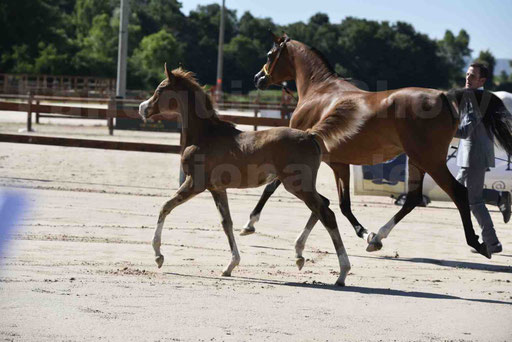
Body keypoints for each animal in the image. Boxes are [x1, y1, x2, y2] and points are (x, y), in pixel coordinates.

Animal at [138, 66, 350, 286]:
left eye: (160, 89)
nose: (142, 108)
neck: (205, 135)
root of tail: (310, 134)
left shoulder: (195, 183)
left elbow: (165, 207)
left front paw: (158, 256)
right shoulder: (217, 188)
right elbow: (226, 223)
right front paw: (230, 266)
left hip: (297, 185)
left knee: (327, 214)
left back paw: (342, 273)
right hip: (301, 185)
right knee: (322, 206)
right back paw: (299, 255)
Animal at [246, 33, 512, 260]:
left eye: (269, 55)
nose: (258, 78)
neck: (319, 92)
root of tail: (444, 96)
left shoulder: (298, 155)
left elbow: (271, 188)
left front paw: (250, 223)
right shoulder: (337, 163)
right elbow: (340, 204)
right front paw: (365, 234)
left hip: (430, 161)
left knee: (458, 193)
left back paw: (477, 243)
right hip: (418, 161)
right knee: (413, 199)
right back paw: (378, 238)